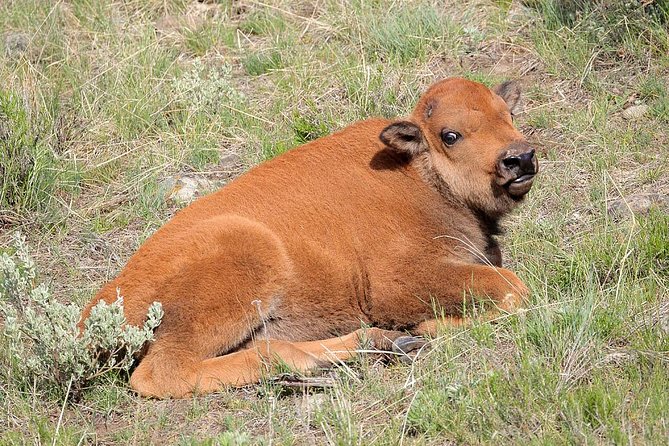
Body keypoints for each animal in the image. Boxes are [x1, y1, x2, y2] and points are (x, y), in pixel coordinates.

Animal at [81, 76, 536, 398]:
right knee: (162, 373)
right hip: (247, 261)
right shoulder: (394, 283)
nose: (520, 158)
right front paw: (429, 326)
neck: (419, 174)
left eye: (508, 115)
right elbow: (513, 288)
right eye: (450, 135)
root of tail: (105, 302)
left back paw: (380, 344)